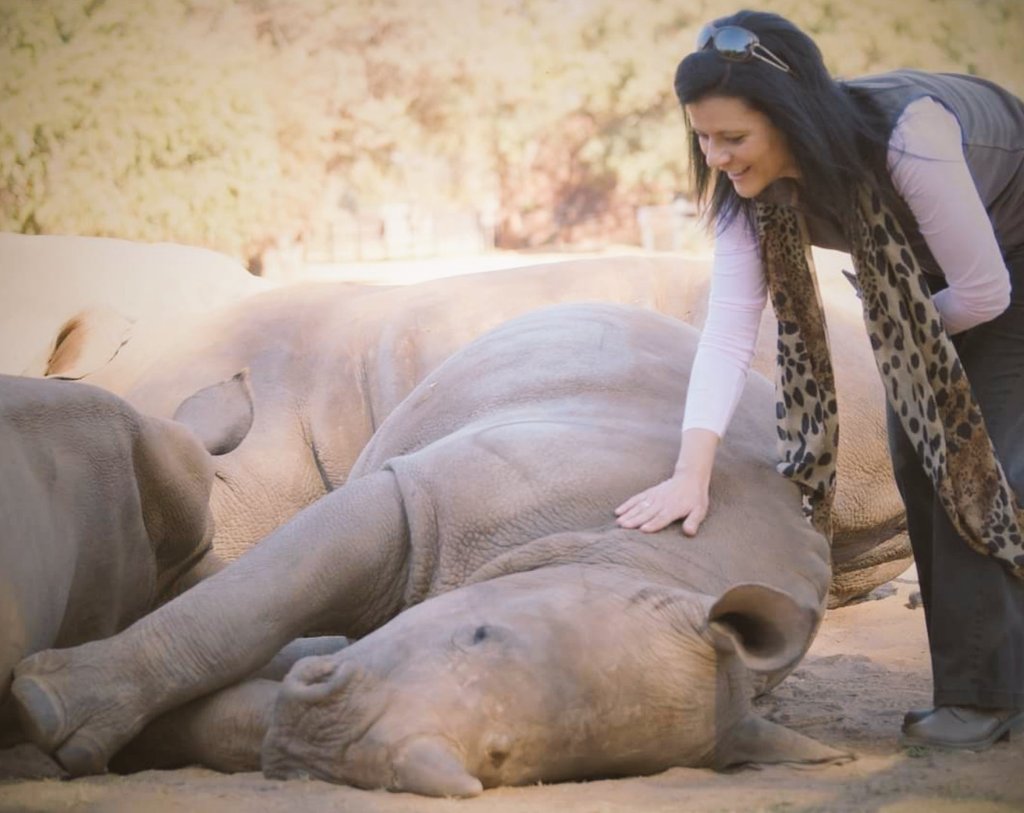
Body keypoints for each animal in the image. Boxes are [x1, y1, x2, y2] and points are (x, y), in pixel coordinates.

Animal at [13, 304, 849, 795]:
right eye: (477, 632)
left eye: (506, 761)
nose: (342, 752)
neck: (647, 560)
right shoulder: (426, 501)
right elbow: (250, 606)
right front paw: (44, 706)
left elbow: (262, 693)